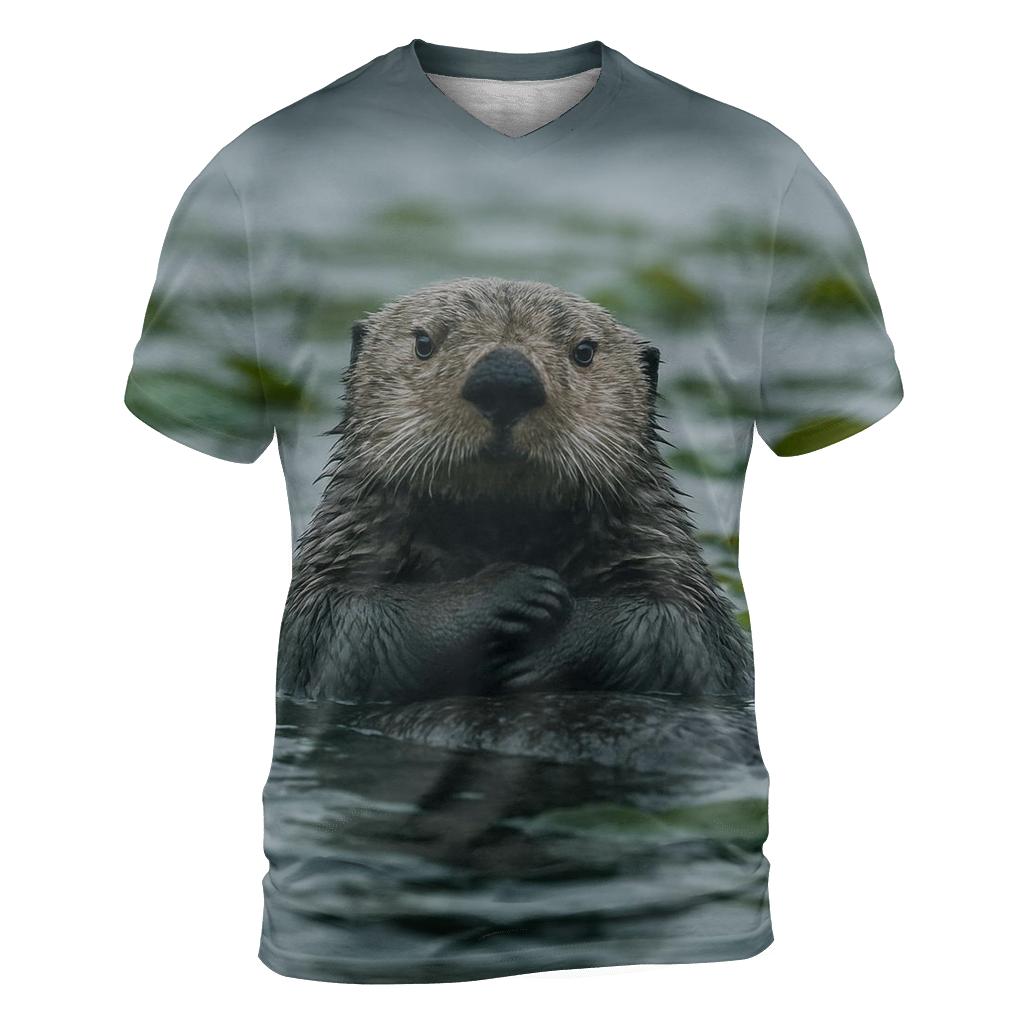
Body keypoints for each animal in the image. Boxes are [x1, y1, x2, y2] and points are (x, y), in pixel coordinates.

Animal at [277, 277, 753, 703]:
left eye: (584, 352)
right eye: (424, 342)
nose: (505, 376)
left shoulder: (666, 567)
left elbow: (675, 629)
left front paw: (553, 640)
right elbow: (342, 624)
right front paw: (508, 590)